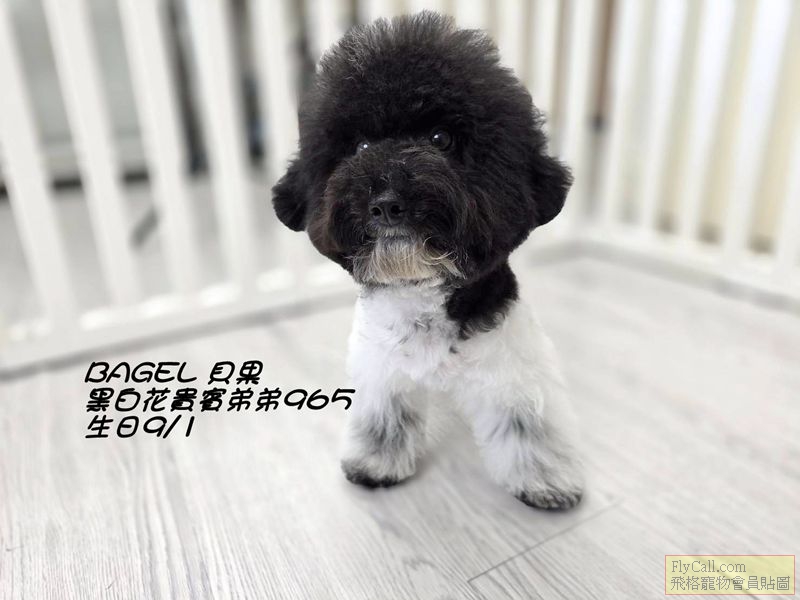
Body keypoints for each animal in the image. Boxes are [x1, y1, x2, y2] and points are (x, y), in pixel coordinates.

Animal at [272, 12, 583, 509]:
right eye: (360, 148)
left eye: (441, 139)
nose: (386, 203)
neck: (422, 295)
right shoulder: (381, 370)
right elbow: (383, 417)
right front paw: (374, 463)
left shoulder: (513, 366)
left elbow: (529, 425)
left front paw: (546, 480)